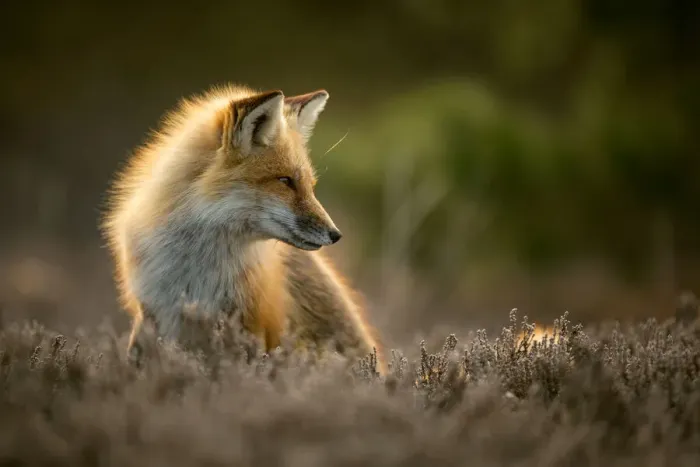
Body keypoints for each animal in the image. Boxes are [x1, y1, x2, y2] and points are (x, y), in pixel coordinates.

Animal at [101, 84, 385, 373]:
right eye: (286, 181)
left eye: (309, 185)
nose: (335, 234)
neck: (197, 270)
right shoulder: (151, 310)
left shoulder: (251, 323)